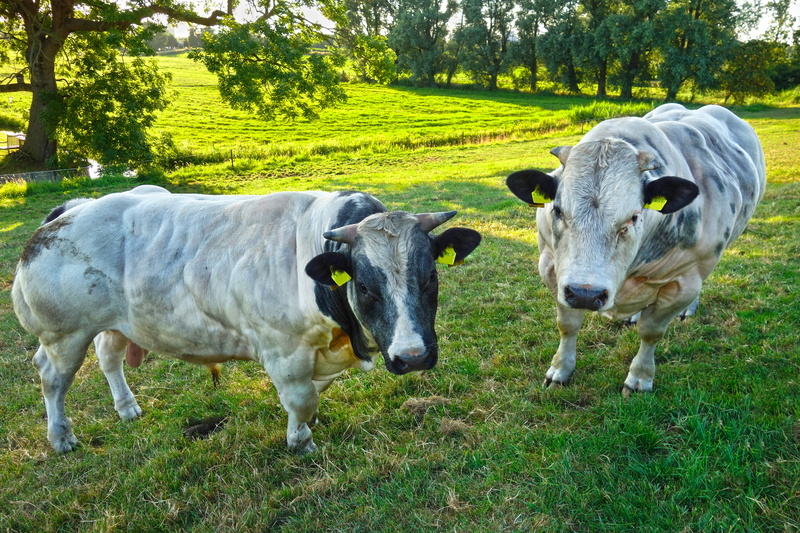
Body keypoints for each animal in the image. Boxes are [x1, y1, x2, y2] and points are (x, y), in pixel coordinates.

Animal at [12, 185, 481, 453]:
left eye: (431, 276)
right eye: (365, 286)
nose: (412, 356)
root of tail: (70, 210)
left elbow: (312, 396)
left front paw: (304, 428)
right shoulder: (283, 350)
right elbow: (301, 399)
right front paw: (301, 442)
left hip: (115, 323)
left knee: (108, 356)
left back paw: (127, 408)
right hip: (62, 334)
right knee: (52, 378)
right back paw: (61, 437)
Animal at [506, 104, 765, 394]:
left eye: (633, 217)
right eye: (558, 210)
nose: (586, 294)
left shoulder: (685, 281)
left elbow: (651, 332)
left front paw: (640, 377)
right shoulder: (551, 268)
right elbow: (567, 325)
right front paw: (561, 370)